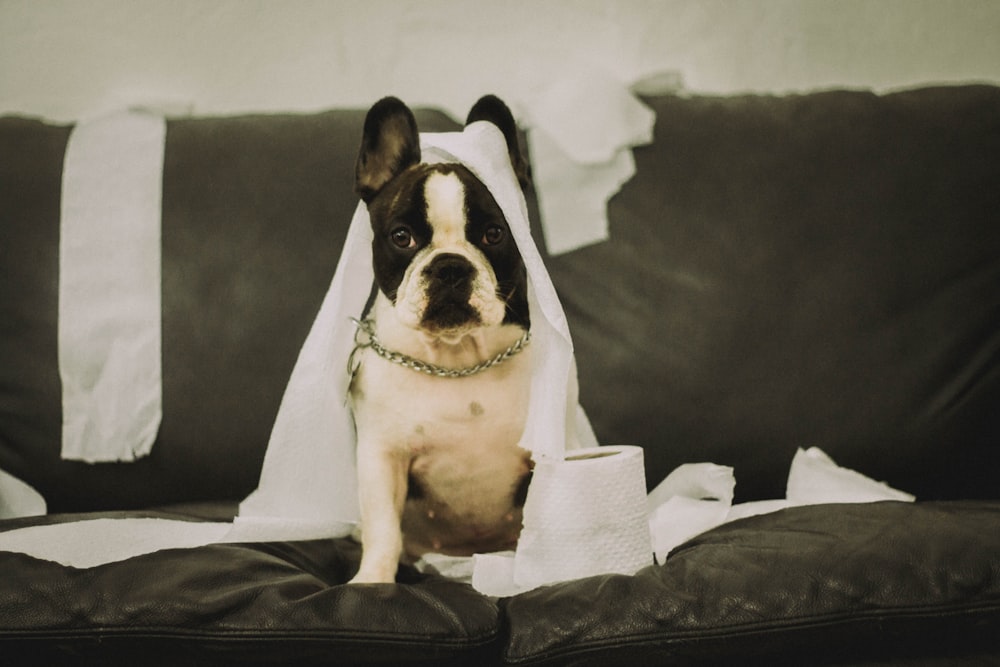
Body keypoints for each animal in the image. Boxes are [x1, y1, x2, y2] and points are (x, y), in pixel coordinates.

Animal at [350, 95, 540, 584]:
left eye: (494, 234)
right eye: (401, 237)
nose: (450, 266)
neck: (457, 358)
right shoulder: (383, 457)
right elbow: (384, 529)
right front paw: (372, 581)